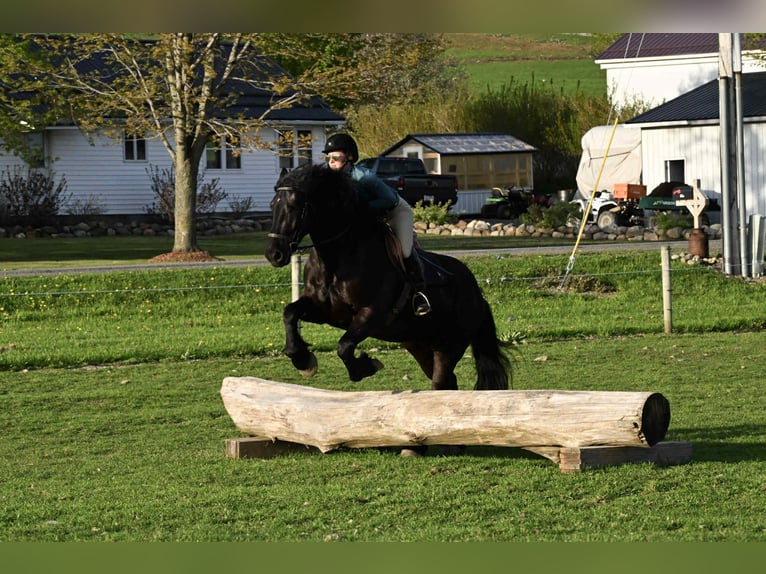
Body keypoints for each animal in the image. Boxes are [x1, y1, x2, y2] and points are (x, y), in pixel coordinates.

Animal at [264, 162, 511, 392]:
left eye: (294, 207)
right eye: (272, 206)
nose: (274, 254)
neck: (336, 258)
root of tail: (477, 293)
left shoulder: (373, 315)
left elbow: (344, 346)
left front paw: (365, 367)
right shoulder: (325, 311)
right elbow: (290, 313)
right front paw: (302, 360)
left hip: (449, 345)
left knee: (442, 381)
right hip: (419, 345)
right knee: (446, 382)